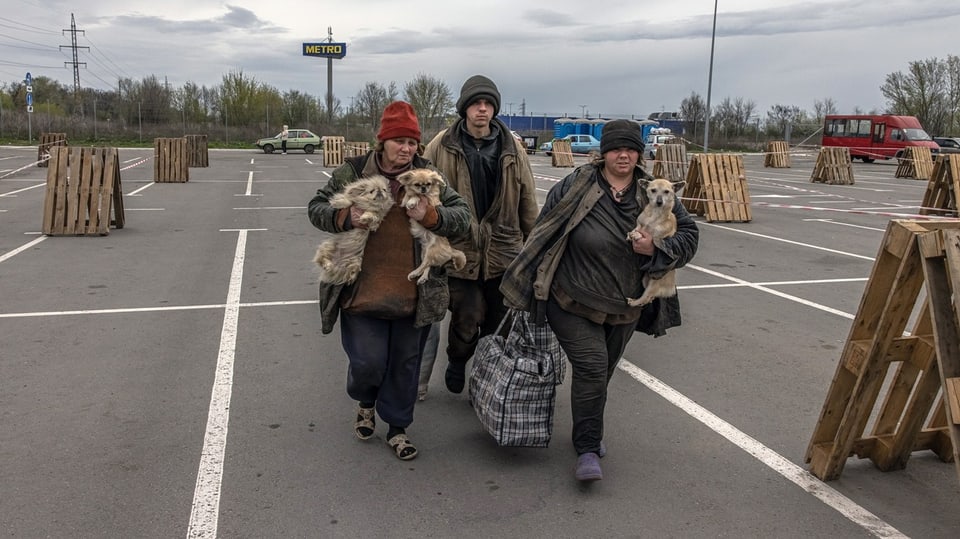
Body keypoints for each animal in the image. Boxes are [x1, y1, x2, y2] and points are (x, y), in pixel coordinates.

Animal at [628, 178, 688, 308]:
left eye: (666, 191)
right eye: (653, 190)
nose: (659, 202)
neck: (655, 214)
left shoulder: (656, 238)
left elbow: (648, 236)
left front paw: (637, 235)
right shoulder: (640, 224)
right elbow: (637, 228)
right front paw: (631, 234)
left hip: (653, 284)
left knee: (646, 297)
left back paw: (634, 302)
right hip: (645, 280)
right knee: (650, 298)